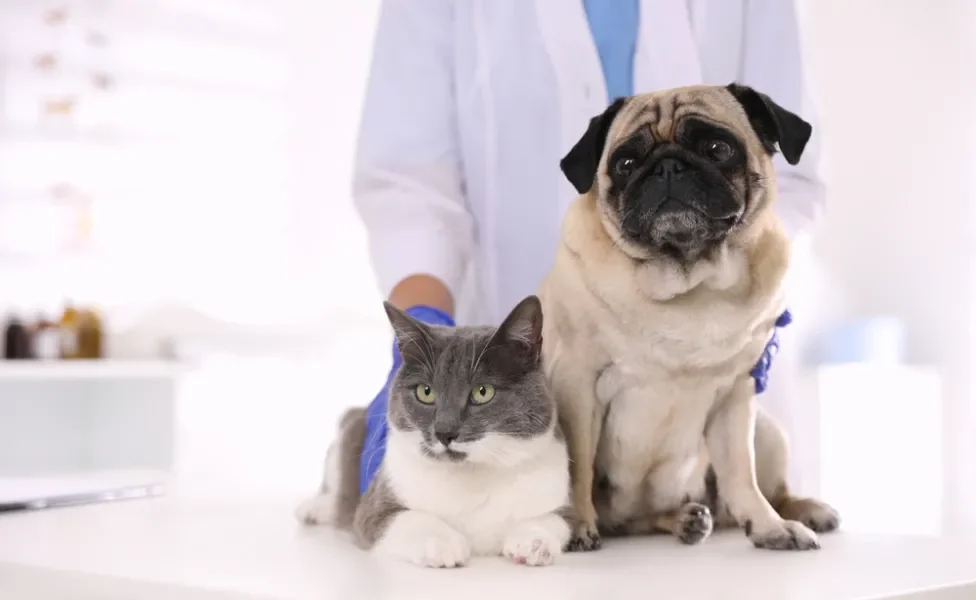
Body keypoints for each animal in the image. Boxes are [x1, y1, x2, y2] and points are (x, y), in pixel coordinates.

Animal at [298, 296, 572, 568]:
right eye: (425, 392)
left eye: (483, 391)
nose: (444, 431)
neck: (473, 477)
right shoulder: (375, 505)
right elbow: (403, 518)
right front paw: (442, 542)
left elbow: (555, 519)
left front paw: (534, 540)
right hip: (351, 429)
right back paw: (316, 508)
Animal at [540, 84, 840, 552]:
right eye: (626, 164)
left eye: (717, 148)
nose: (667, 167)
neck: (688, 280)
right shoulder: (577, 383)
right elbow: (579, 468)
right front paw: (577, 526)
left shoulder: (737, 394)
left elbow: (741, 474)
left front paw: (769, 527)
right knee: (629, 518)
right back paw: (678, 520)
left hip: (767, 431)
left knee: (764, 489)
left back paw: (791, 511)